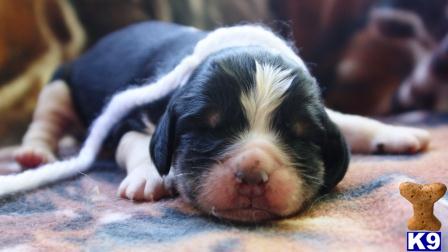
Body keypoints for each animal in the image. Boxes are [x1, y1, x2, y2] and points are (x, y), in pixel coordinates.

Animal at [2, 21, 430, 222]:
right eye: (208, 128)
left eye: (300, 136)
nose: (253, 175)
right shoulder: (124, 116)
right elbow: (136, 142)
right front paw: (149, 177)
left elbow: (345, 120)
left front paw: (396, 133)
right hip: (59, 84)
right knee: (46, 119)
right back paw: (35, 154)